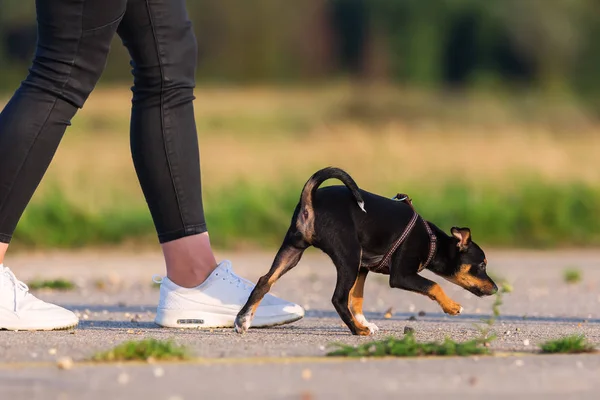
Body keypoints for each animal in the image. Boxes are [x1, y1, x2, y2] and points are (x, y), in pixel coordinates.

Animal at [234, 167, 496, 336]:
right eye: (482, 264)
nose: (495, 288)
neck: (432, 241)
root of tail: (310, 201)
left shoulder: (364, 268)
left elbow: (357, 298)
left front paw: (366, 322)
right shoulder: (400, 276)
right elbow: (434, 285)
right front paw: (452, 307)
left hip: (293, 251)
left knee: (264, 281)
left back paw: (243, 320)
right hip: (348, 258)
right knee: (337, 298)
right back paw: (357, 331)